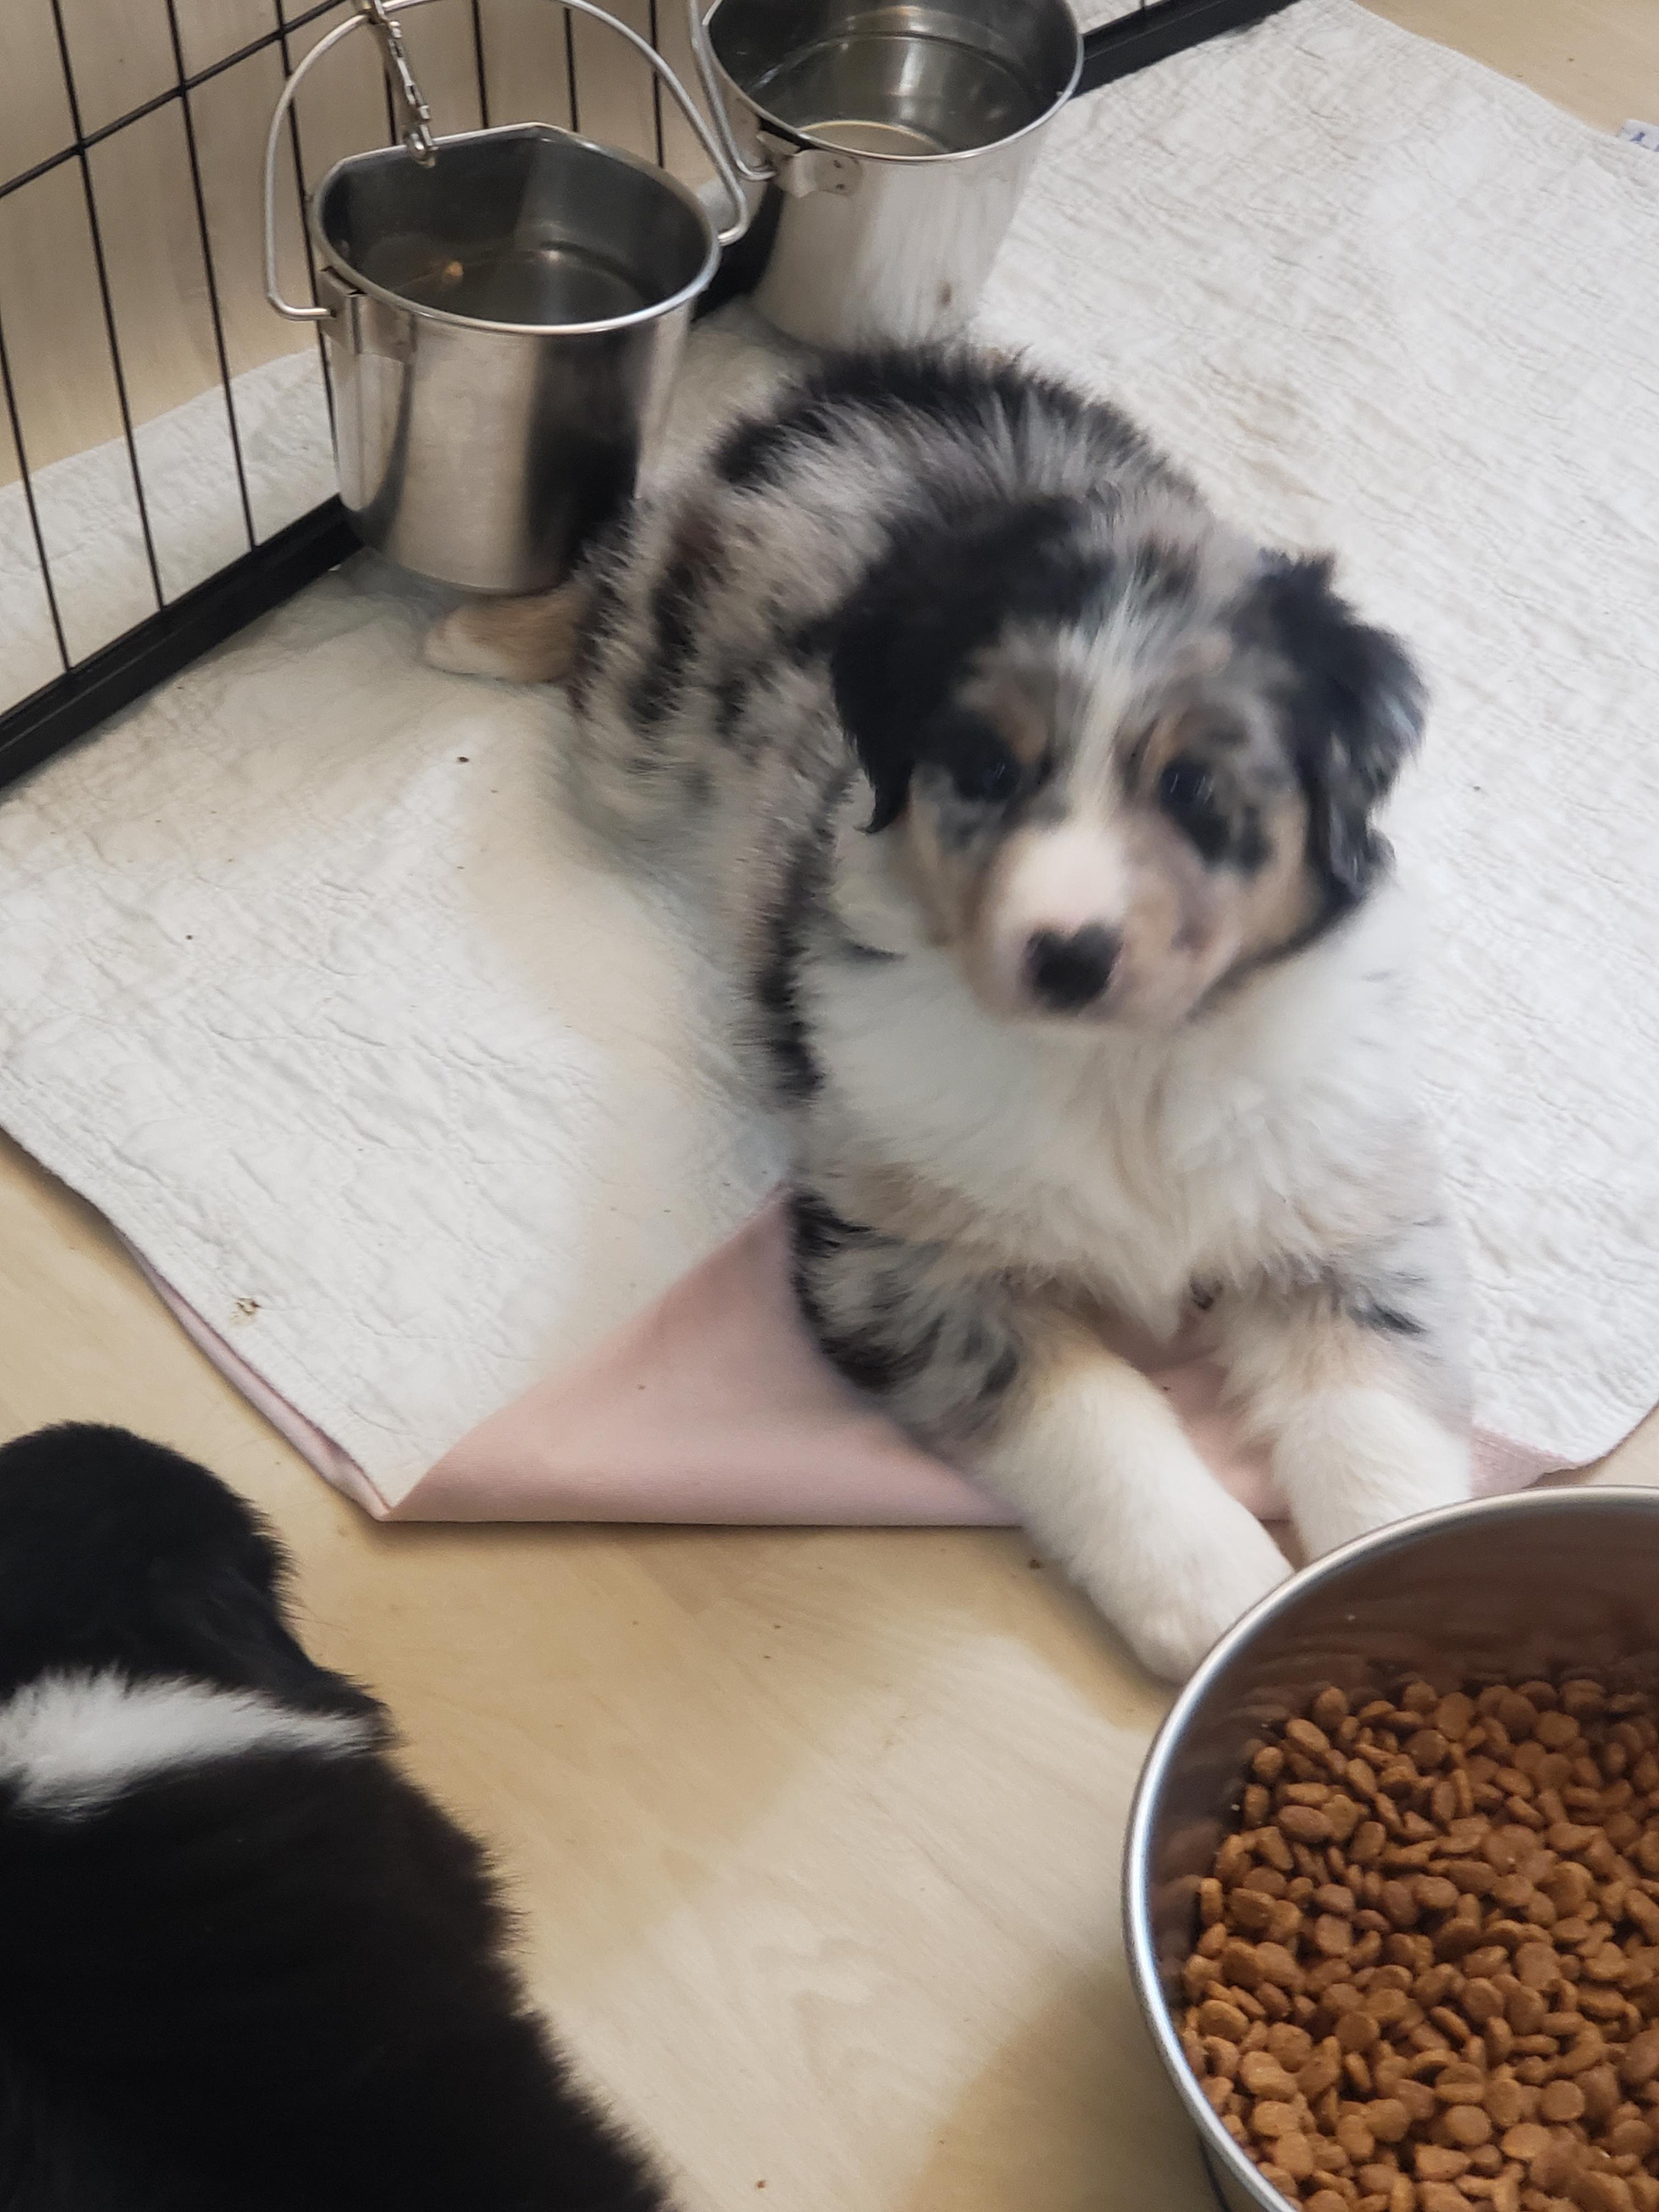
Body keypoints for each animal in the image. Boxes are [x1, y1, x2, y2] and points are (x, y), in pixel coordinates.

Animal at [428, 345, 1472, 1682]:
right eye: (985, 771)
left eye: (1196, 789)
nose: (1065, 955)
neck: (1119, 1071)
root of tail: (890, 373)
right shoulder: (897, 1260)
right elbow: (1092, 1412)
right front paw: (1211, 1588)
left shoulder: (1350, 1219)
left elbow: (1376, 1421)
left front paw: (1396, 1577)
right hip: (645, 728)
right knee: (620, 580)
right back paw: (484, 629)